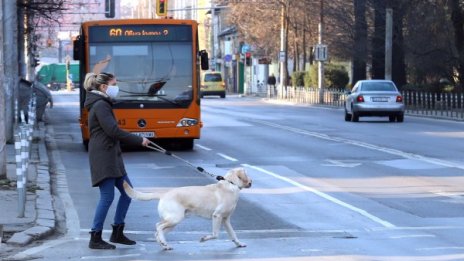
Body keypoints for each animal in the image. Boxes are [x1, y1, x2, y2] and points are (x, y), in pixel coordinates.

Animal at [123, 167, 252, 250]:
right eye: (247, 175)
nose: (252, 182)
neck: (231, 184)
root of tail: (163, 194)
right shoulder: (217, 216)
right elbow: (215, 234)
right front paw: (204, 238)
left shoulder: (225, 219)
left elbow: (233, 234)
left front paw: (239, 244)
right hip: (175, 219)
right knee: (158, 226)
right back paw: (164, 243)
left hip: (173, 223)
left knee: (158, 232)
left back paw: (164, 245)